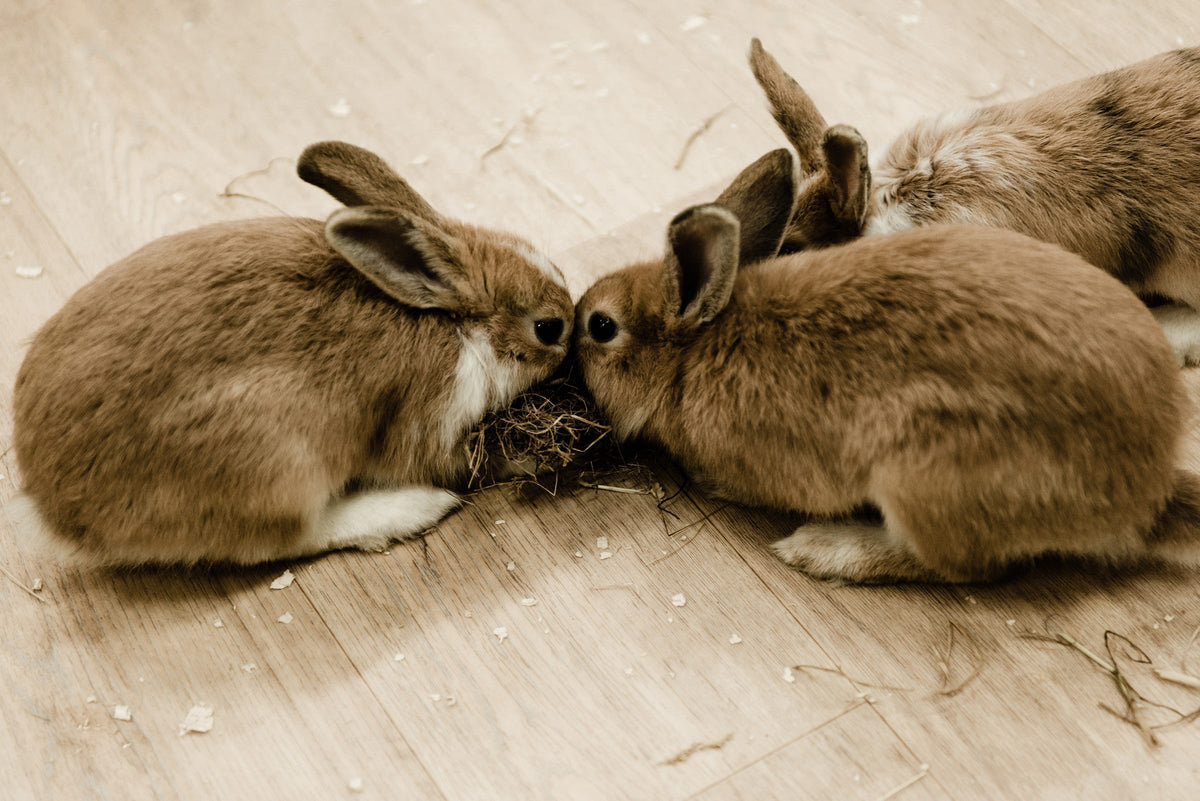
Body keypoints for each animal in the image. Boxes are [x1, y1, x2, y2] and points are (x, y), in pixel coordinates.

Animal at [11, 140, 574, 567]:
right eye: (549, 328)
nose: (569, 346)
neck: (456, 323)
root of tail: (60, 514)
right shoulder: (431, 426)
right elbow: (470, 459)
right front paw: (529, 459)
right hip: (275, 463)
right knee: (282, 539)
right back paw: (411, 510)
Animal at [573, 147, 1200, 583]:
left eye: (601, 327)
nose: (576, 324)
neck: (692, 350)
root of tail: (1144, 496)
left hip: (924, 475)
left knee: (968, 568)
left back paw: (823, 550)